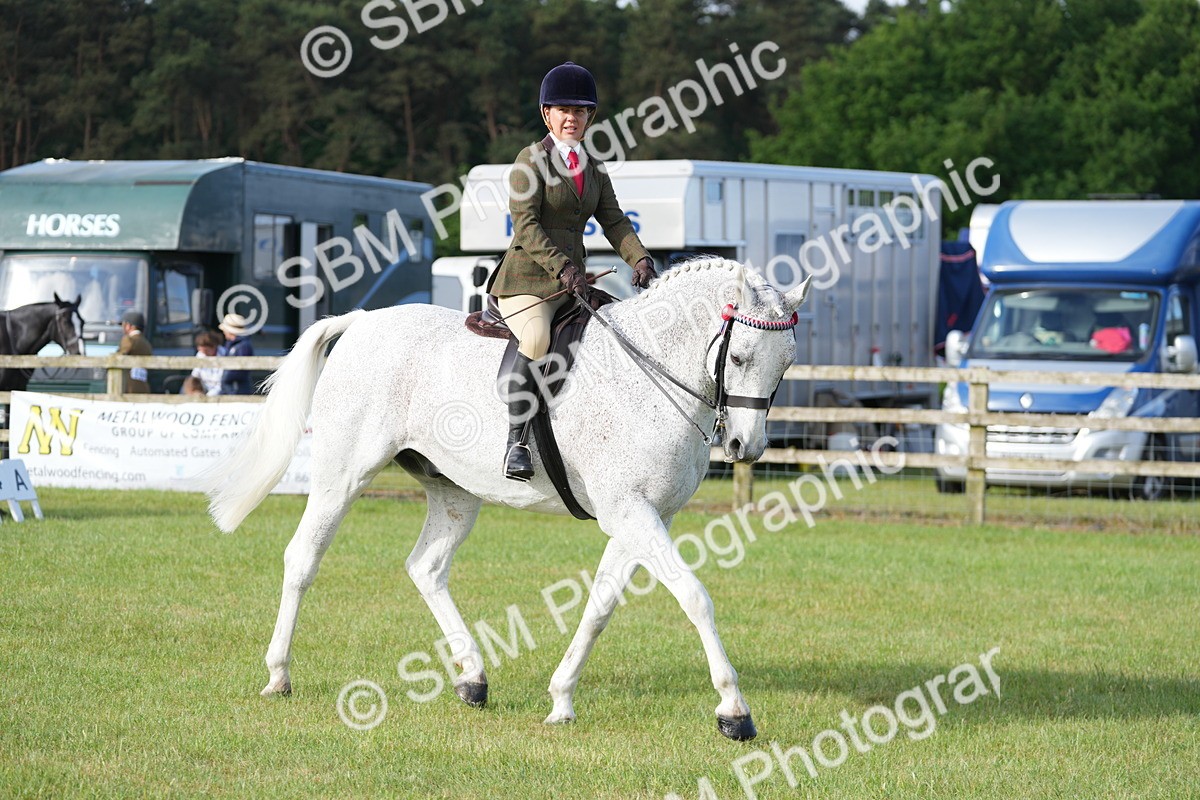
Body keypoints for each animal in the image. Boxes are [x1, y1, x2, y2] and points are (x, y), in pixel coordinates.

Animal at [203, 258, 812, 740]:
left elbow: (600, 607)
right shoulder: (633, 513)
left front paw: (562, 699)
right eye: (739, 358)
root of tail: (362, 320)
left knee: (426, 567)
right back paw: (278, 674)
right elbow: (694, 597)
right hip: (342, 475)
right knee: (303, 558)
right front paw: (734, 711)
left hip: (454, 490)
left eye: (786, 362)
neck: (648, 375)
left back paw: (472, 678)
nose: (746, 446)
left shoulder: (638, 516)